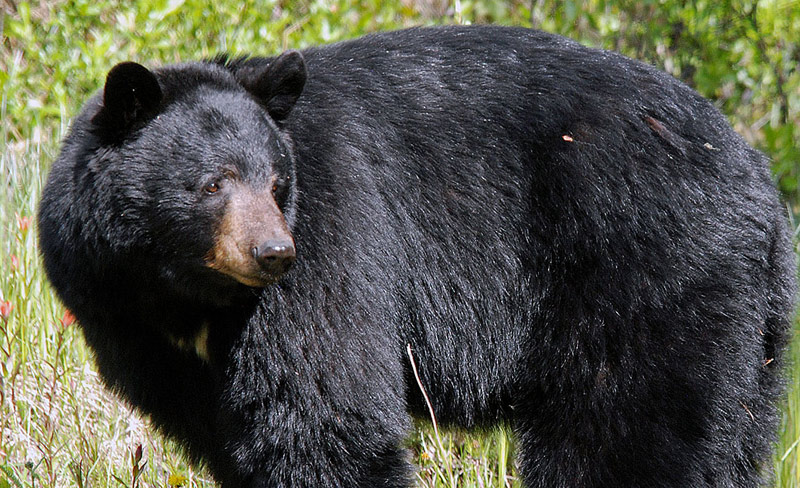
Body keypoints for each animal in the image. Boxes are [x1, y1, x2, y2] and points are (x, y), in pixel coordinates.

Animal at [40, 24, 796, 486]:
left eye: (278, 184)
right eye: (212, 184)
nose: (274, 252)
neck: (182, 290)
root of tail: (757, 177)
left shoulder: (333, 242)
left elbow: (324, 415)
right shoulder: (127, 322)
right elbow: (229, 430)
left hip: (646, 274)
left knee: (624, 434)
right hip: (749, 328)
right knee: (728, 438)